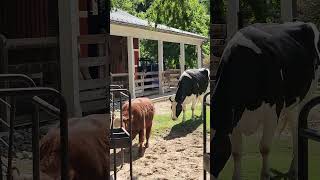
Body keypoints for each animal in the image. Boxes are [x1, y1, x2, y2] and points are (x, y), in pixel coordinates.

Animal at [210, 21, 320, 180]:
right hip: (291, 104)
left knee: (297, 134)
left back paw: (294, 170)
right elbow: (237, 152)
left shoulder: (272, 112)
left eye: (217, 155)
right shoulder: (235, 120)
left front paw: (265, 175)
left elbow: (264, 148)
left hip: (305, 99)